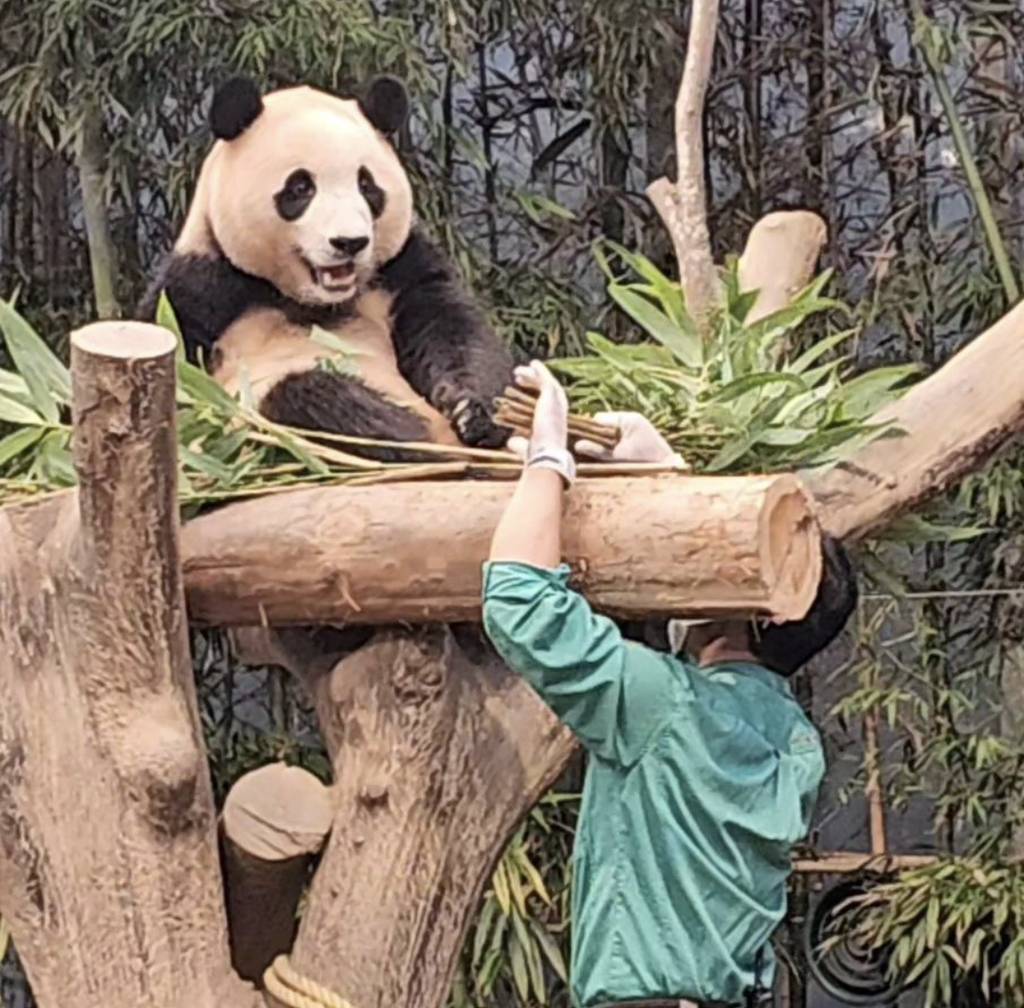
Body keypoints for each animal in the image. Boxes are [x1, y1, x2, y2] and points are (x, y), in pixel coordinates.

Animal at [138, 72, 512, 458]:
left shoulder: (399, 269)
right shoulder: (199, 288)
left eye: (367, 185)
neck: (308, 299)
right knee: (306, 398)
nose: (350, 242)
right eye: (301, 187)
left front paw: (473, 413)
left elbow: (452, 329)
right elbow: (177, 382)